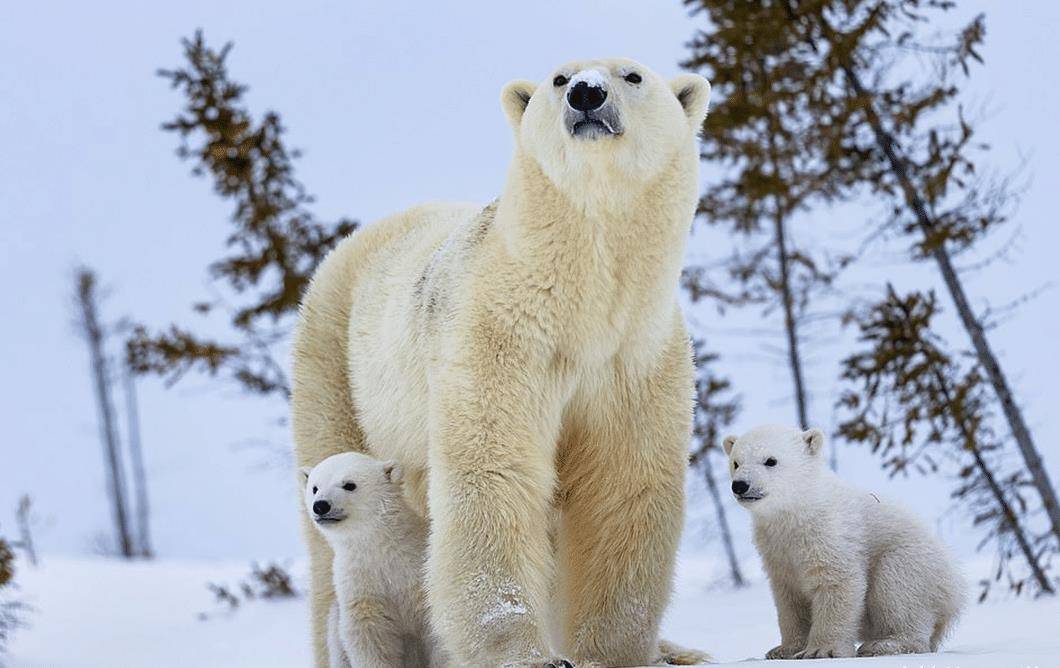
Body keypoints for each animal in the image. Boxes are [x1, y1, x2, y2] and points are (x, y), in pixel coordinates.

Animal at [303, 455, 443, 668]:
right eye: (315, 487)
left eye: (349, 485)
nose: (320, 505)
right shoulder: (360, 583)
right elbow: (369, 636)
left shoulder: (420, 576)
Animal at [725, 426, 966, 661]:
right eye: (736, 462)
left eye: (770, 460)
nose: (740, 485)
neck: (799, 510)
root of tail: (956, 596)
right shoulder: (776, 548)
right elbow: (790, 598)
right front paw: (784, 650)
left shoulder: (829, 533)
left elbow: (837, 581)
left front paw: (822, 650)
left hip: (917, 565)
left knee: (896, 586)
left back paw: (884, 644)